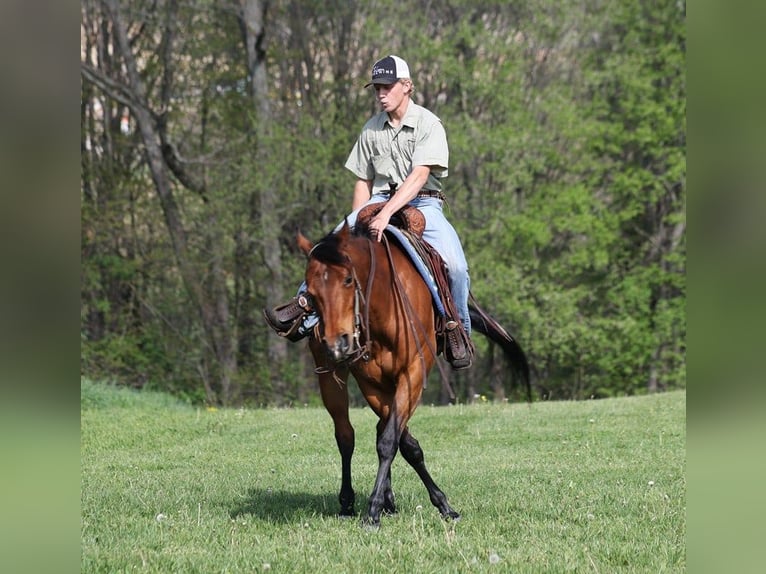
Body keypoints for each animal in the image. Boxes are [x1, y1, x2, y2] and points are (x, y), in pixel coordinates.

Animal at [296, 223, 532, 528]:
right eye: (311, 291)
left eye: (348, 279)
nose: (338, 344)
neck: (383, 305)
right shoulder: (372, 383)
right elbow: (399, 441)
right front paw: (382, 505)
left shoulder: (413, 374)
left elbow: (391, 441)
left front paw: (383, 507)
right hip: (332, 380)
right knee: (345, 435)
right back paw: (349, 502)